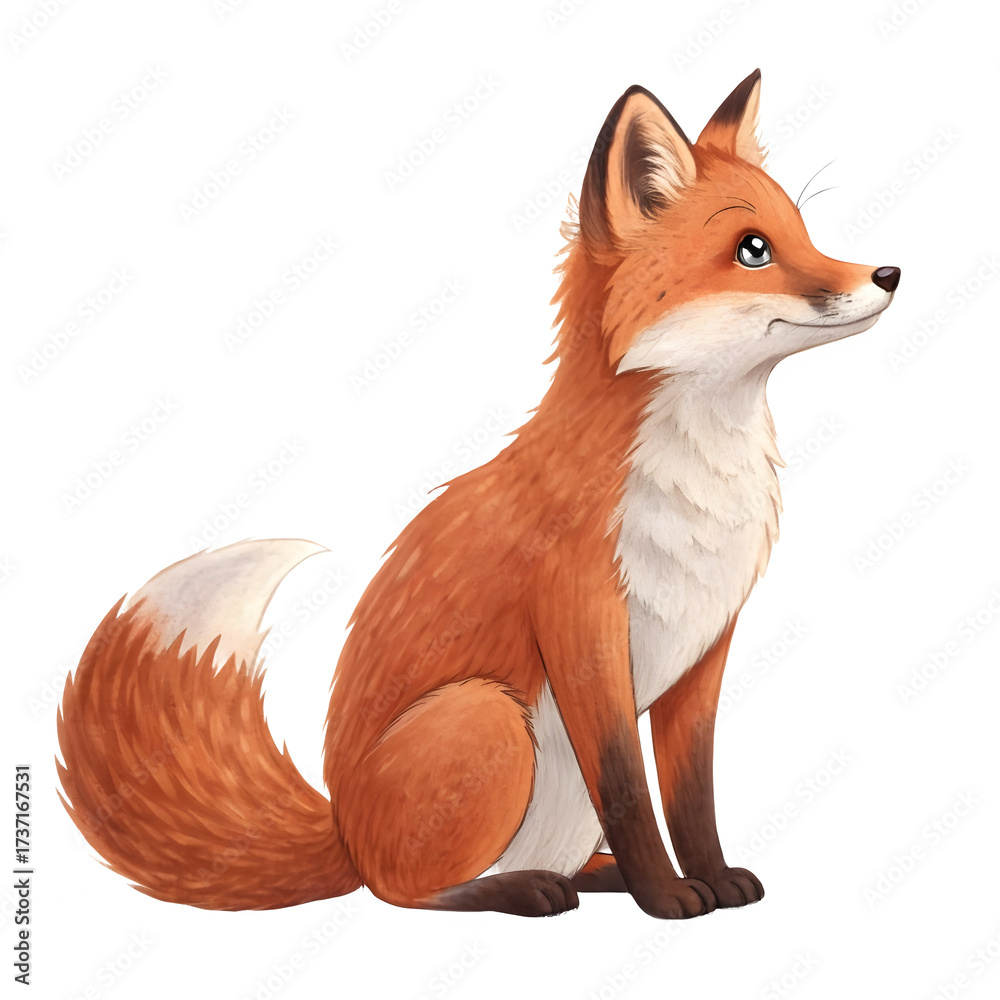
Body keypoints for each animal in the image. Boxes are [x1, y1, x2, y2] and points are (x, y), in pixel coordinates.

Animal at [58, 69, 900, 920]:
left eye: (805, 232)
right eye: (754, 249)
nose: (888, 274)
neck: (694, 486)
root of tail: (342, 828)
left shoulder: (707, 646)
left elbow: (691, 794)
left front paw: (715, 878)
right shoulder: (584, 630)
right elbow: (629, 786)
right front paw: (666, 896)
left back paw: (590, 875)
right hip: (490, 715)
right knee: (400, 891)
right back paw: (522, 889)